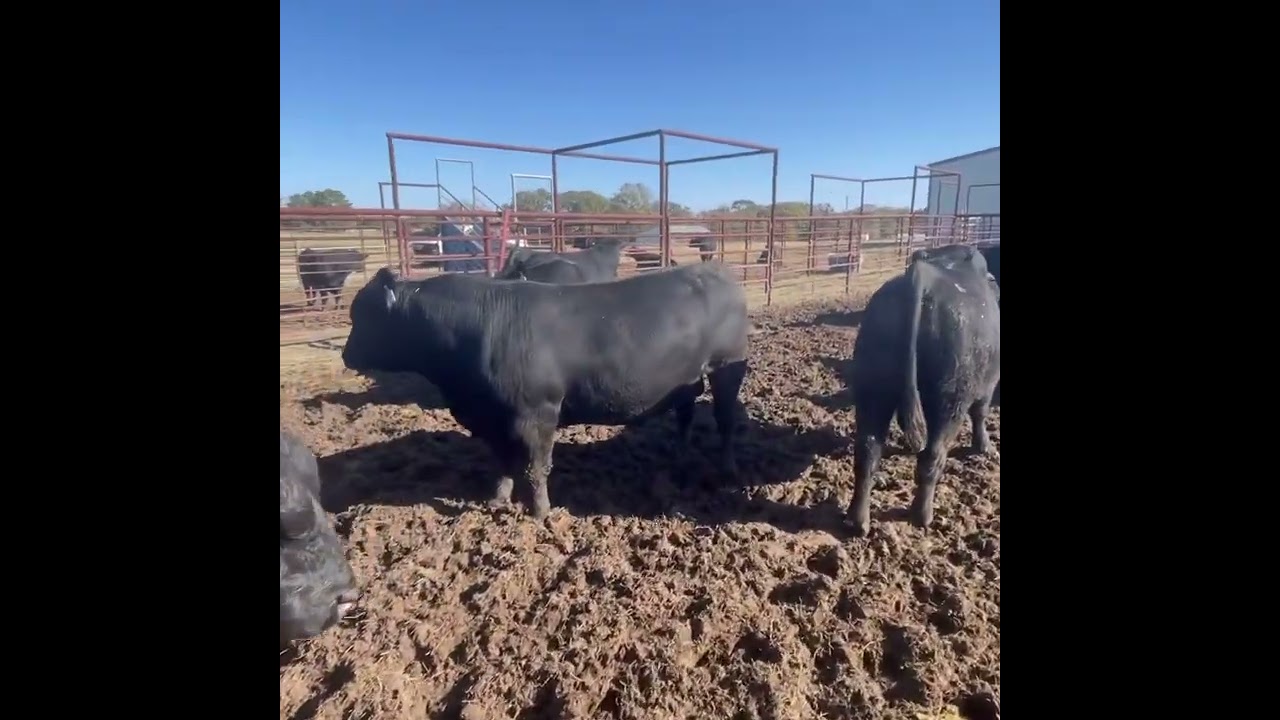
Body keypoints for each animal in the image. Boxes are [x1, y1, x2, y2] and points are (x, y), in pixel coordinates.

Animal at [340, 263, 752, 519]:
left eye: (365, 315)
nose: (346, 355)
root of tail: (716, 271)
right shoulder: (493, 417)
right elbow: (503, 461)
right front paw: (497, 499)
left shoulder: (538, 411)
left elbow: (537, 465)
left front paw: (540, 512)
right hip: (686, 379)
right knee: (685, 415)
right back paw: (678, 459)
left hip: (729, 368)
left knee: (726, 420)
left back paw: (729, 469)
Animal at [845, 244, 1000, 536]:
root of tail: (923, 277)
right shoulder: (989, 383)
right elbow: (981, 414)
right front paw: (985, 447)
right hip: (949, 401)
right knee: (932, 457)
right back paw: (923, 516)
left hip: (873, 391)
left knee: (867, 451)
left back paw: (858, 520)